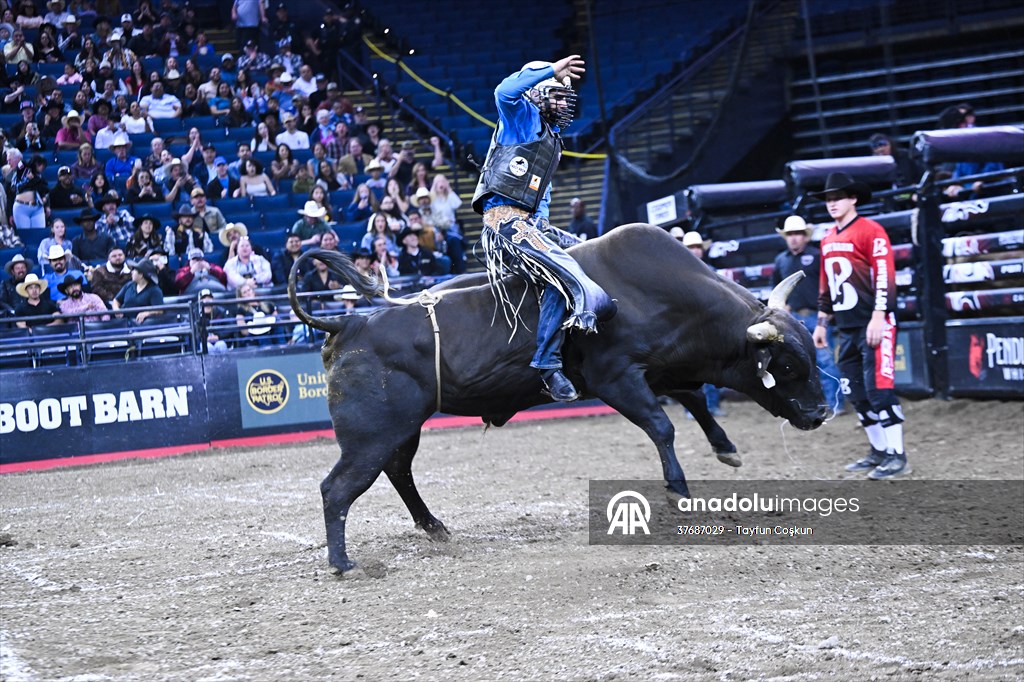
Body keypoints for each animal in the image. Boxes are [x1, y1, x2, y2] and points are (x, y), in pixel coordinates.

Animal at [288, 224, 828, 576]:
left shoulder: (659, 369)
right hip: (370, 435)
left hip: (401, 429)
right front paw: (678, 487)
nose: (821, 412)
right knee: (338, 488)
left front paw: (725, 447)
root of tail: (348, 324)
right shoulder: (617, 378)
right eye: (786, 366)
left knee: (398, 472)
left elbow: (693, 399)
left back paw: (435, 527)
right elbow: (663, 425)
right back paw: (343, 563)